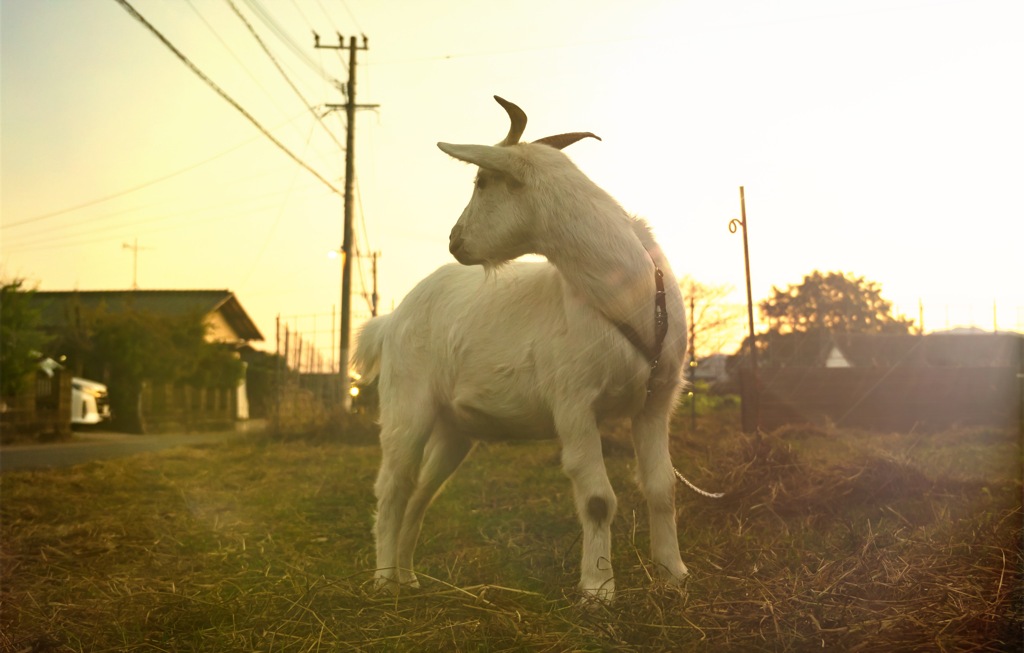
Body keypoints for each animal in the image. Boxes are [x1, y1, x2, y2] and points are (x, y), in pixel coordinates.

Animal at [356, 97, 692, 605]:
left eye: (481, 181)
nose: (454, 240)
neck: (625, 294)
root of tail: (391, 320)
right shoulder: (573, 402)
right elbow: (598, 499)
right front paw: (598, 590)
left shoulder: (657, 400)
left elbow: (661, 487)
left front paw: (674, 574)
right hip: (405, 405)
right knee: (392, 488)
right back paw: (381, 580)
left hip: (454, 430)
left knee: (420, 494)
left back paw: (407, 578)